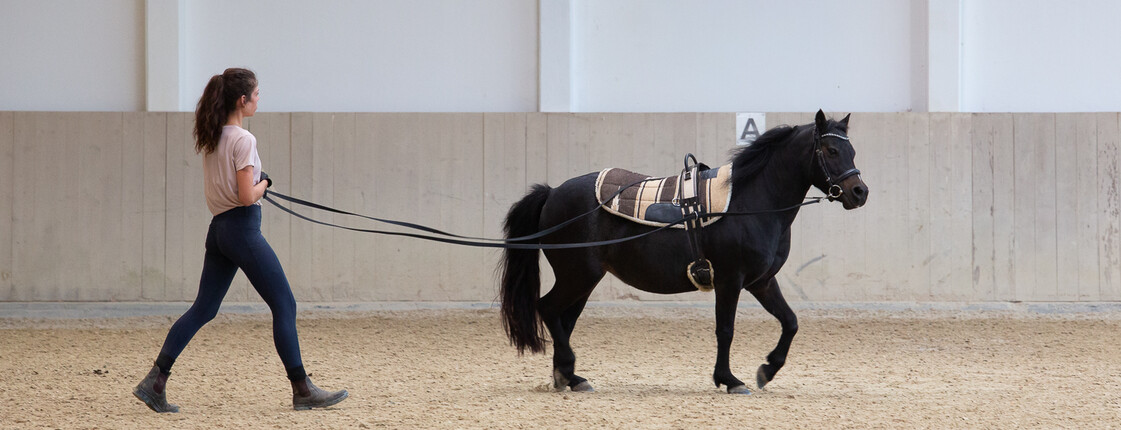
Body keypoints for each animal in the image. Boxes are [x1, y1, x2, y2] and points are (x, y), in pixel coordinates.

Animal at [499, 110, 868, 394]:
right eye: (831, 150)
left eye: (851, 150)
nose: (859, 192)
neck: (751, 202)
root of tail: (552, 193)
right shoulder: (730, 280)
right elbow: (726, 329)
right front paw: (730, 380)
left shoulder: (761, 282)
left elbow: (790, 322)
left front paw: (767, 370)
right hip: (578, 275)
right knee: (548, 309)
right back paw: (569, 371)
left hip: (585, 280)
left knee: (564, 319)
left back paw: (569, 377)